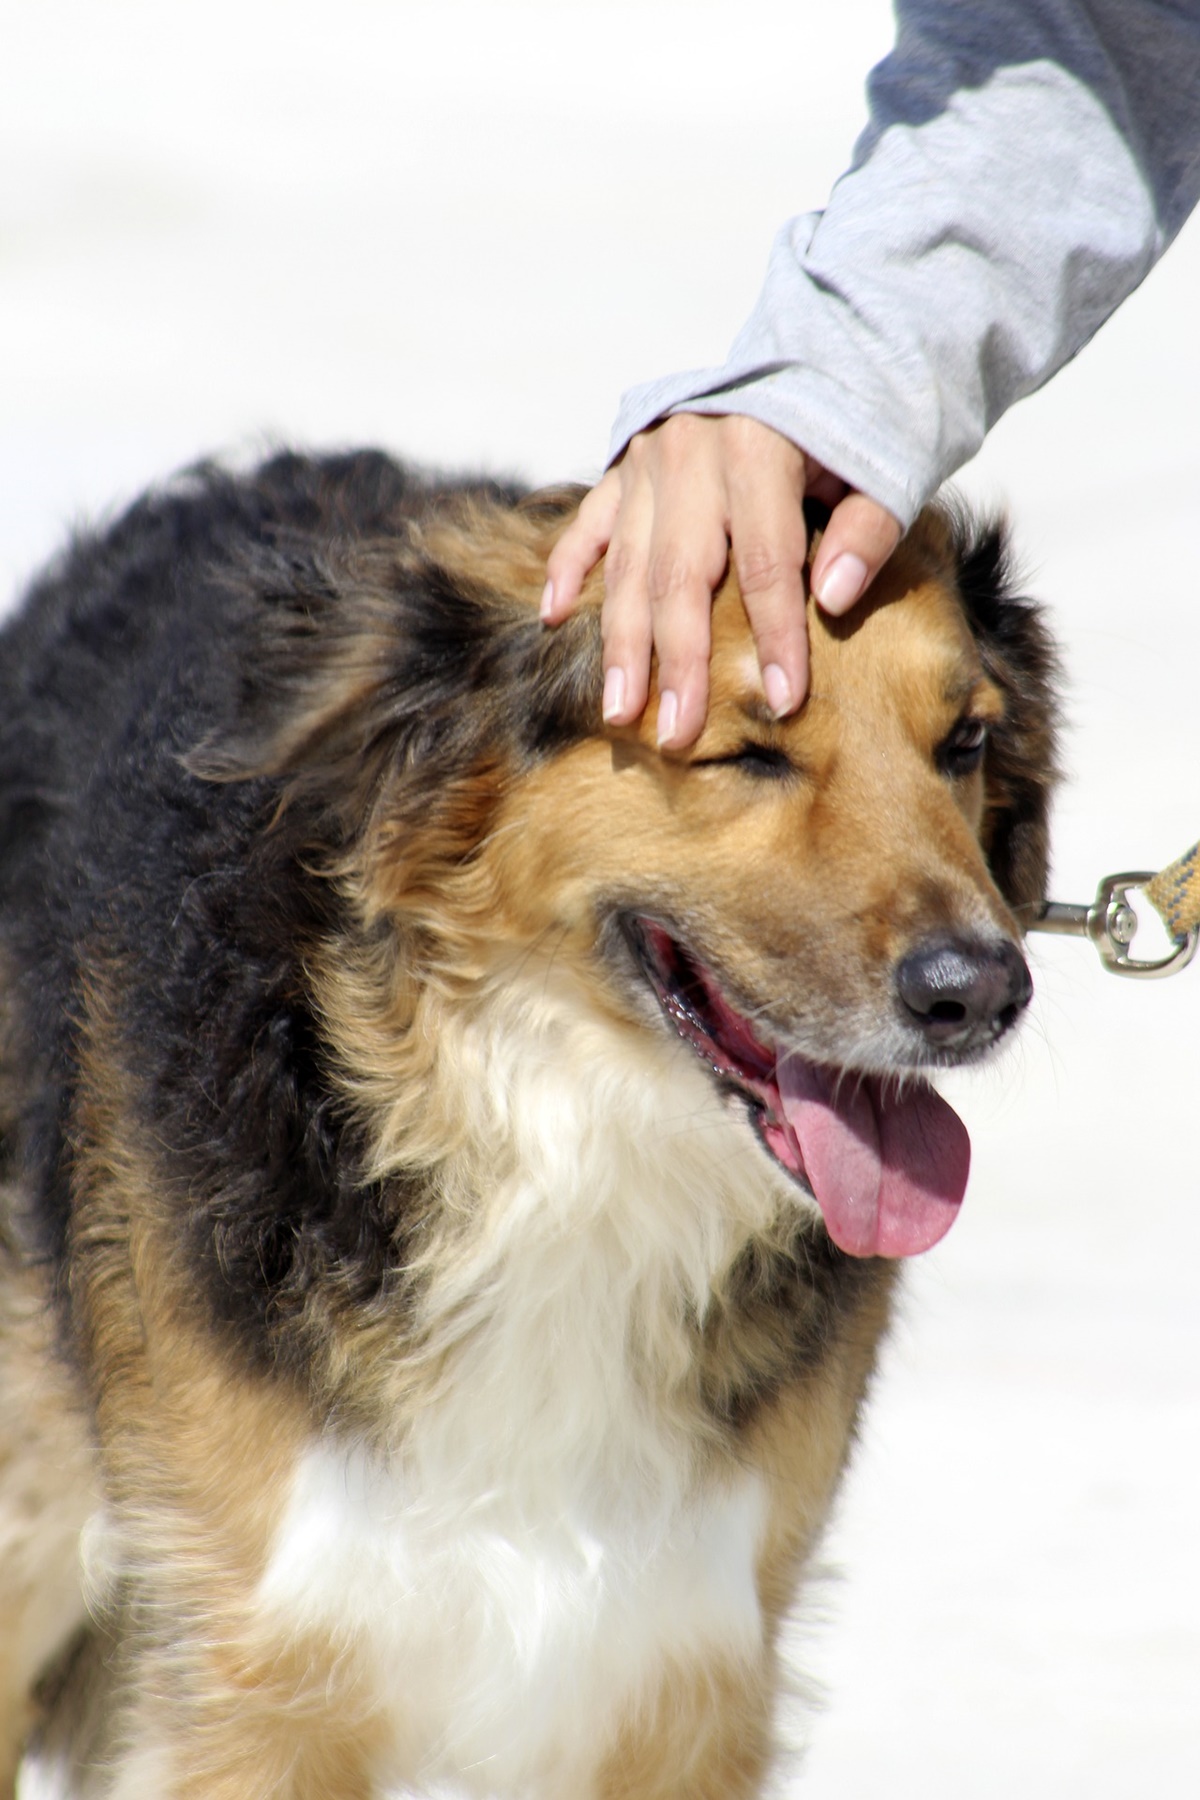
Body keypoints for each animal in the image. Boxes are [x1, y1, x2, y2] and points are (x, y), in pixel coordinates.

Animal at [0, 446, 1050, 1785]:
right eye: (748, 753)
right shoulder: (255, 1686)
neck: (563, 1145)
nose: (981, 993)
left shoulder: (679, 1667)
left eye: (963, 742)